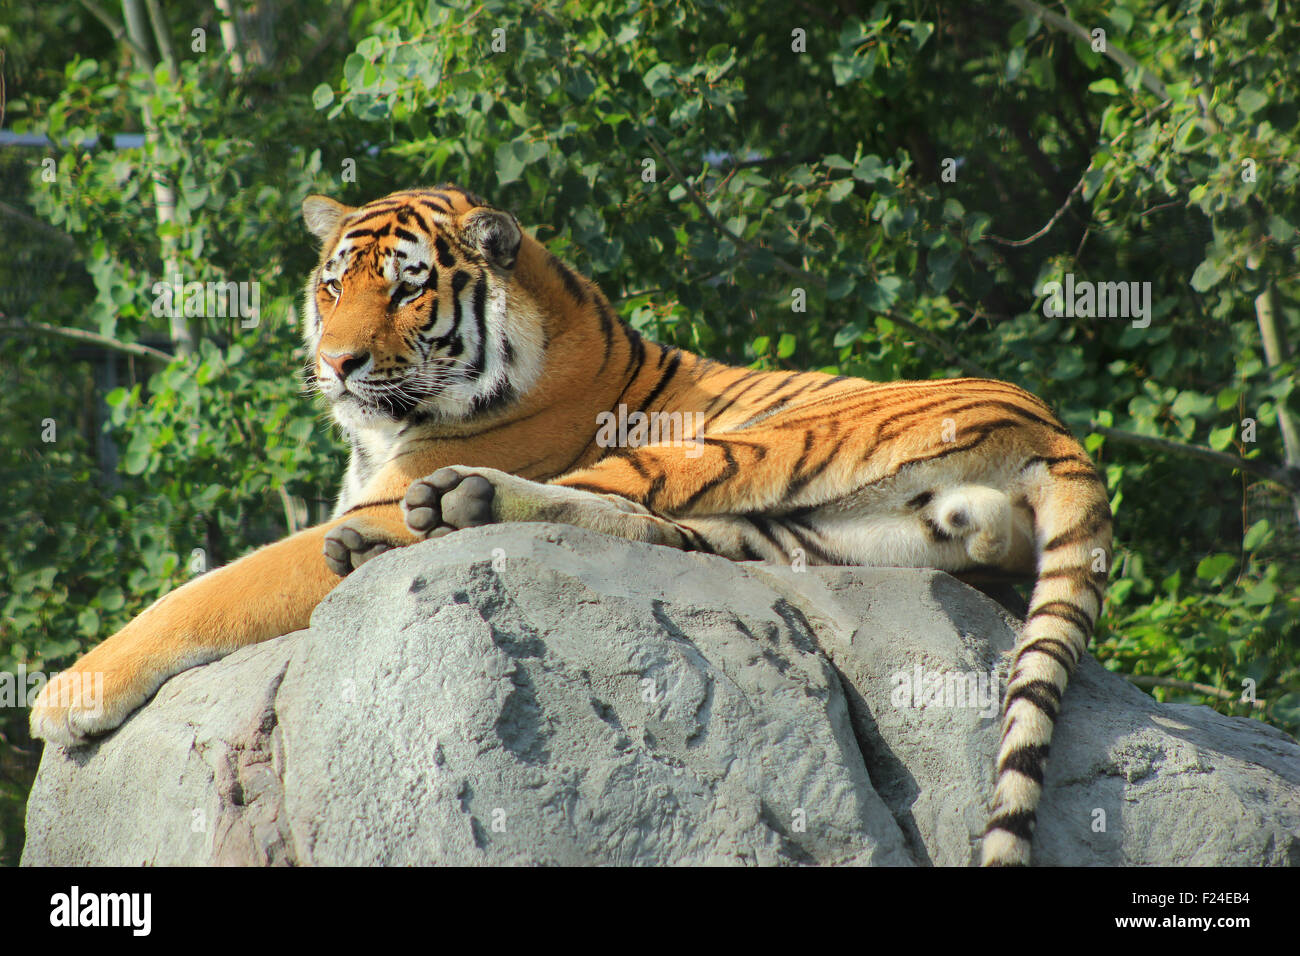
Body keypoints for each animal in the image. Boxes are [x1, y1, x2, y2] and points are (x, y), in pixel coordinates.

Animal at [30, 183, 1107, 863]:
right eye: (332, 283)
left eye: (407, 285)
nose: (335, 363)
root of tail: (1059, 430)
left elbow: (212, 588)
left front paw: (65, 692)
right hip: (820, 533)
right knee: (661, 529)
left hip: (748, 443)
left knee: (609, 494)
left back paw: (426, 516)